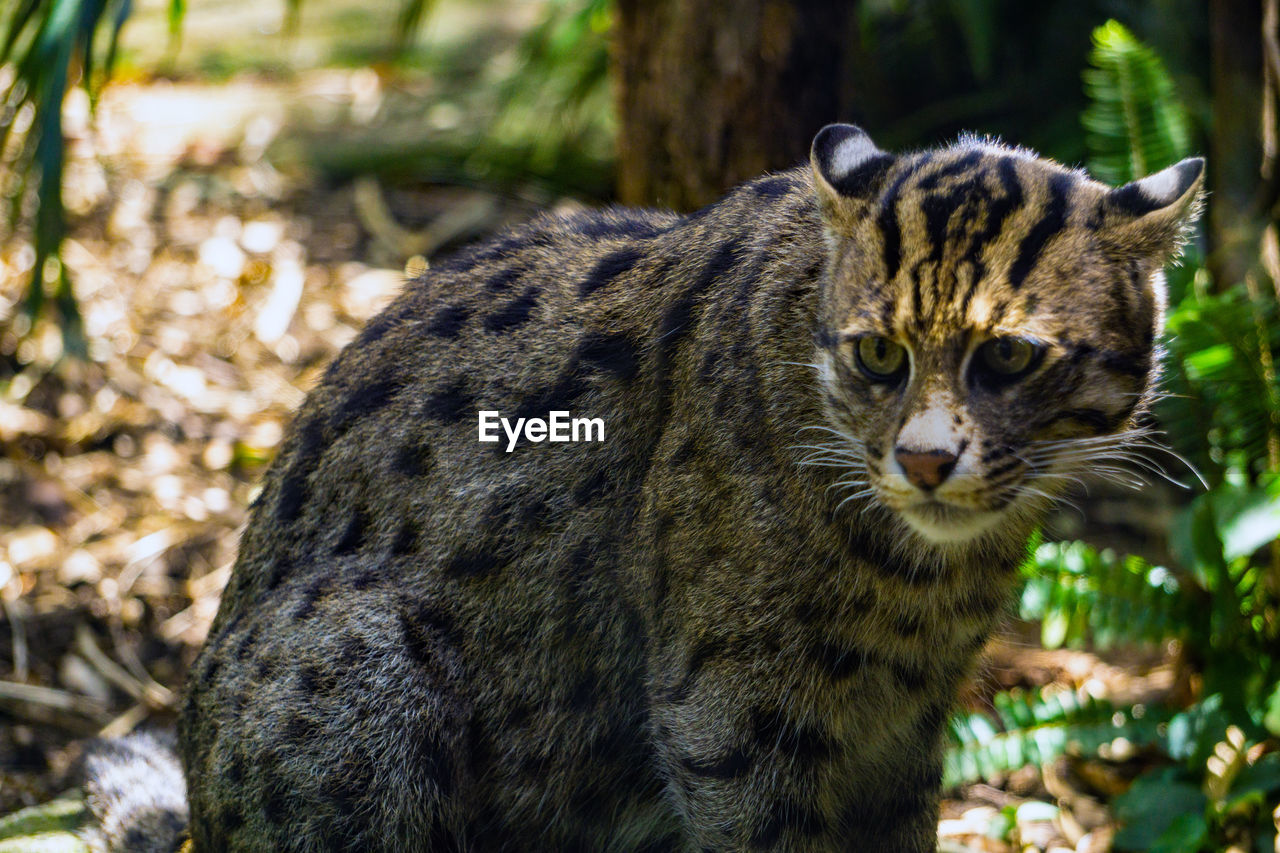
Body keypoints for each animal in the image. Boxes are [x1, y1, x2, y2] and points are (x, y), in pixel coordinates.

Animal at [85, 122, 1203, 845]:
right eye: (880, 354)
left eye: (1009, 358)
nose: (925, 459)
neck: (921, 576)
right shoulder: (733, 714)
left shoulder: (901, 724)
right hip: (350, 646)